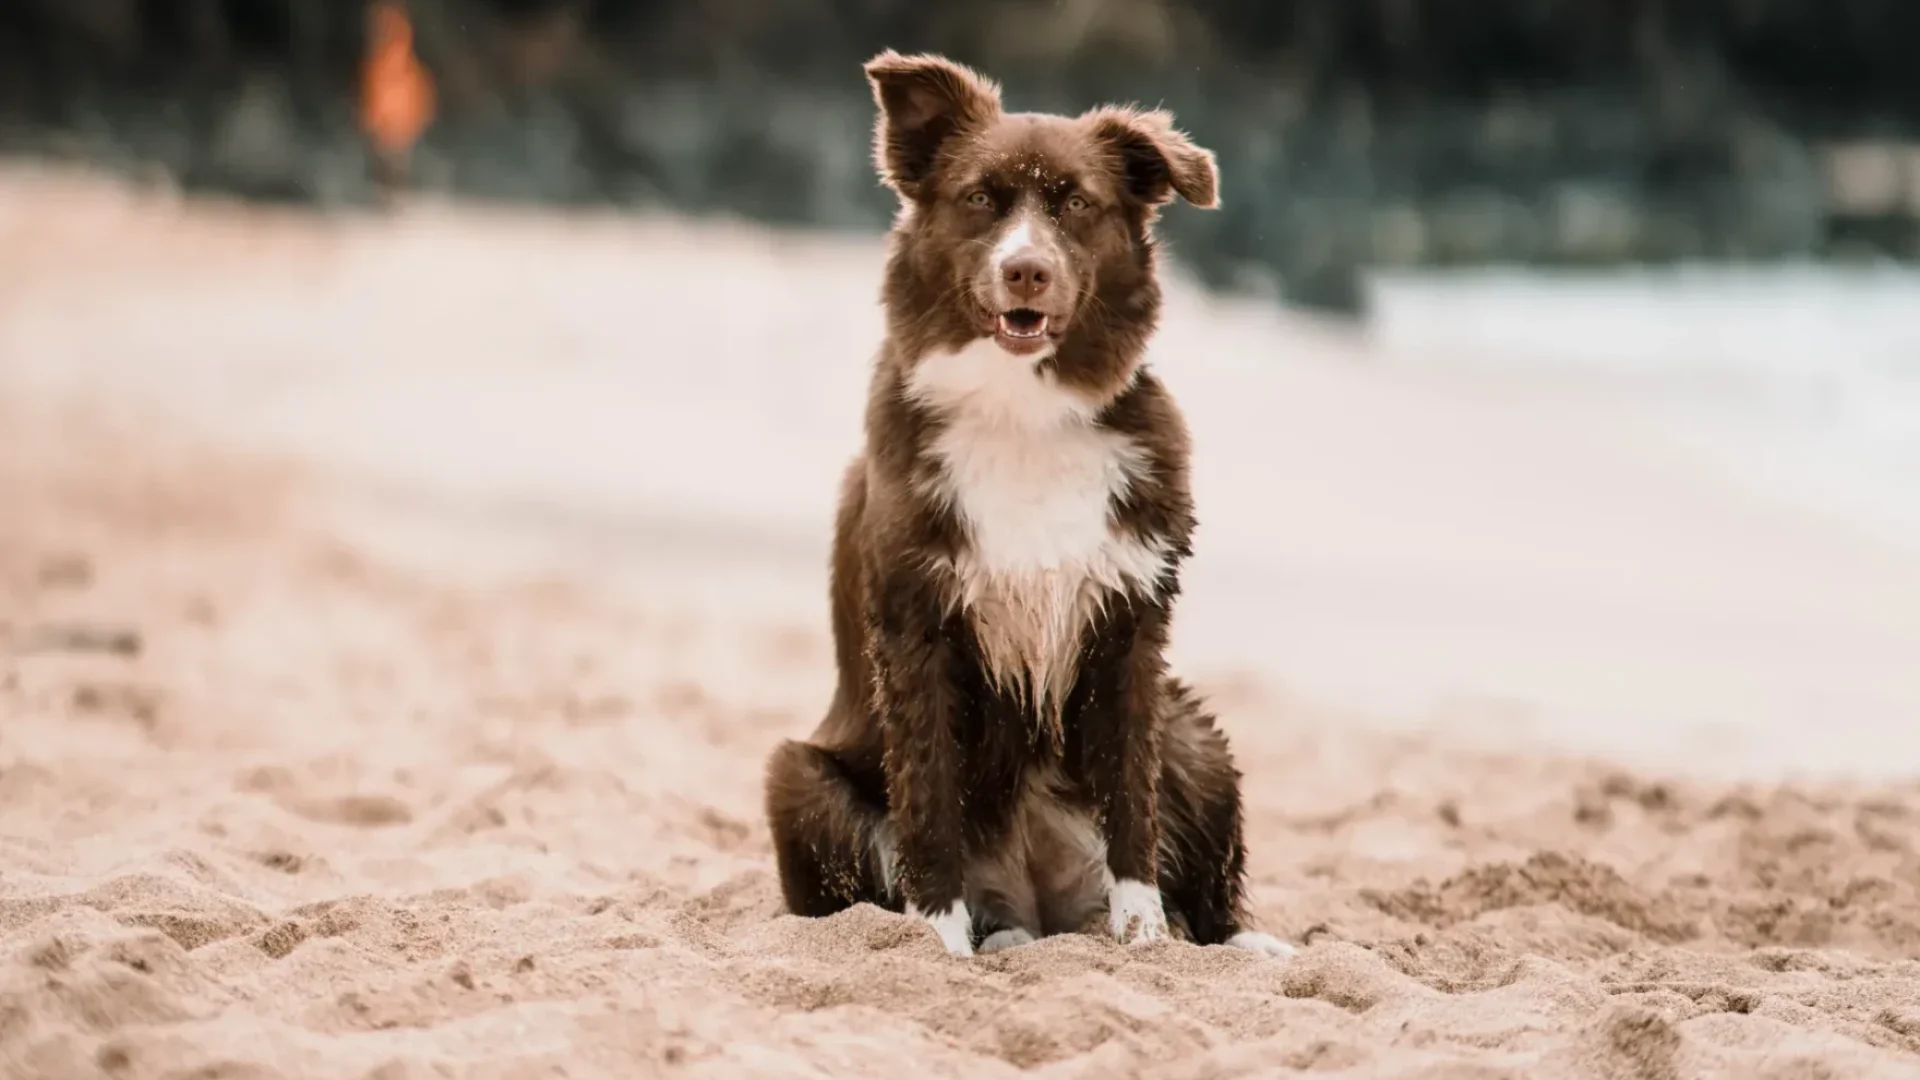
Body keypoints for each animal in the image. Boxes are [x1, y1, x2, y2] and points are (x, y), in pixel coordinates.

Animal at [760, 52, 1290, 957]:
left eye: (1076, 203)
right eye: (980, 198)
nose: (1026, 270)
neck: (1023, 410)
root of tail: (1041, 911)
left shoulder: (1131, 626)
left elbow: (1132, 805)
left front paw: (1143, 939)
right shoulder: (916, 628)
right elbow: (929, 808)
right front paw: (938, 948)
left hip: (1197, 740)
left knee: (1209, 896)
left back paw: (1237, 944)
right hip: (799, 780)